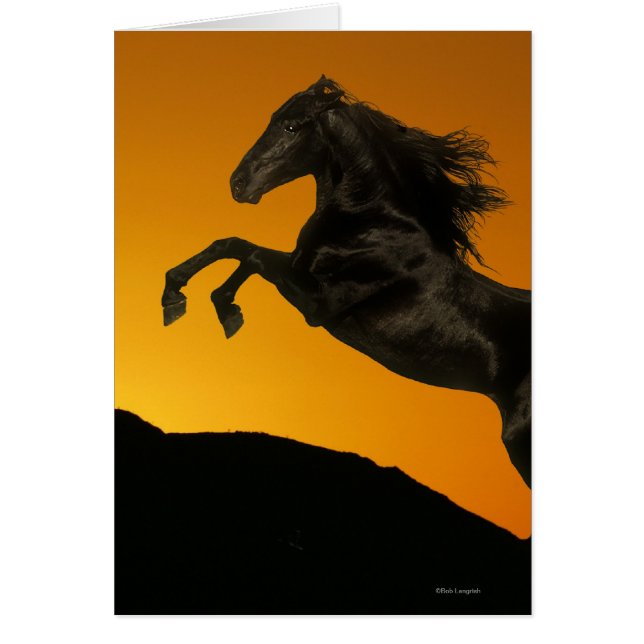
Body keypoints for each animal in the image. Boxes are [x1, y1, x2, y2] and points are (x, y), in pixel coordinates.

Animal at [161, 76, 532, 487]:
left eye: (291, 126)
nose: (237, 184)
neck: (372, 224)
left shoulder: (317, 303)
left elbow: (250, 255)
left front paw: (218, 307)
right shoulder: (296, 268)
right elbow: (233, 246)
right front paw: (181, 298)